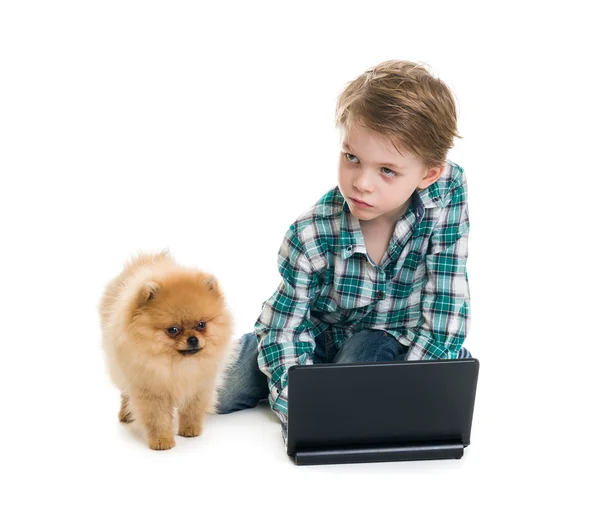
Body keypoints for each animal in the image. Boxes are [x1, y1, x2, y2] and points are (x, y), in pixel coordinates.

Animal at [99, 251, 233, 448]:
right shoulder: (151, 389)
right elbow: (158, 418)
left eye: (201, 325)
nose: (193, 339)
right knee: (125, 393)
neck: (177, 364)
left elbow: (192, 410)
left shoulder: (199, 385)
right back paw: (125, 414)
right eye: (173, 329)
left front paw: (190, 430)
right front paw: (162, 441)